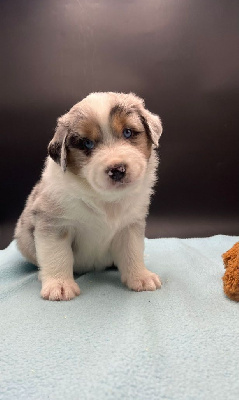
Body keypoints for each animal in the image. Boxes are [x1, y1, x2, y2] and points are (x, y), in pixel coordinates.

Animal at [14, 92, 162, 298]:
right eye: (87, 143)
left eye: (128, 132)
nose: (117, 170)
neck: (105, 199)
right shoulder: (54, 224)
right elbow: (57, 255)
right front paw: (59, 285)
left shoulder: (129, 226)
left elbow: (132, 252)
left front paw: (141, 277)